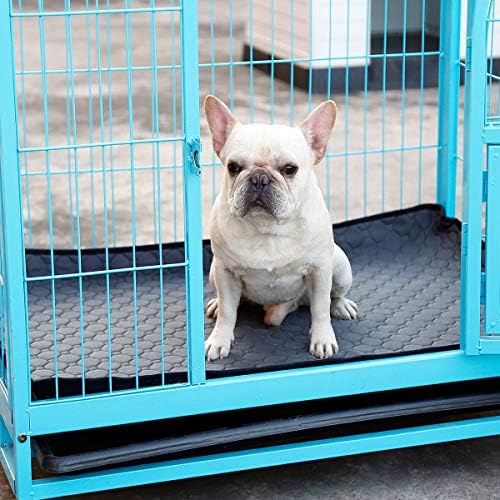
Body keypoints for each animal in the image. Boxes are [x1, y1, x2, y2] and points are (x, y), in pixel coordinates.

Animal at [203, 96, 357, 361]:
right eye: (233, 167)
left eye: (289, 169)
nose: (259, 178)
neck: (268, 229)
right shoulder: (225, 271)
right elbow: (227, 312)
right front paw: (219, 339)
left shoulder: (320, 270)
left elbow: (320, 309)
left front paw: (323, 339)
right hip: (214, 273)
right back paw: (216, 303)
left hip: (339, 267)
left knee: (332, 296)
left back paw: (340, 305)